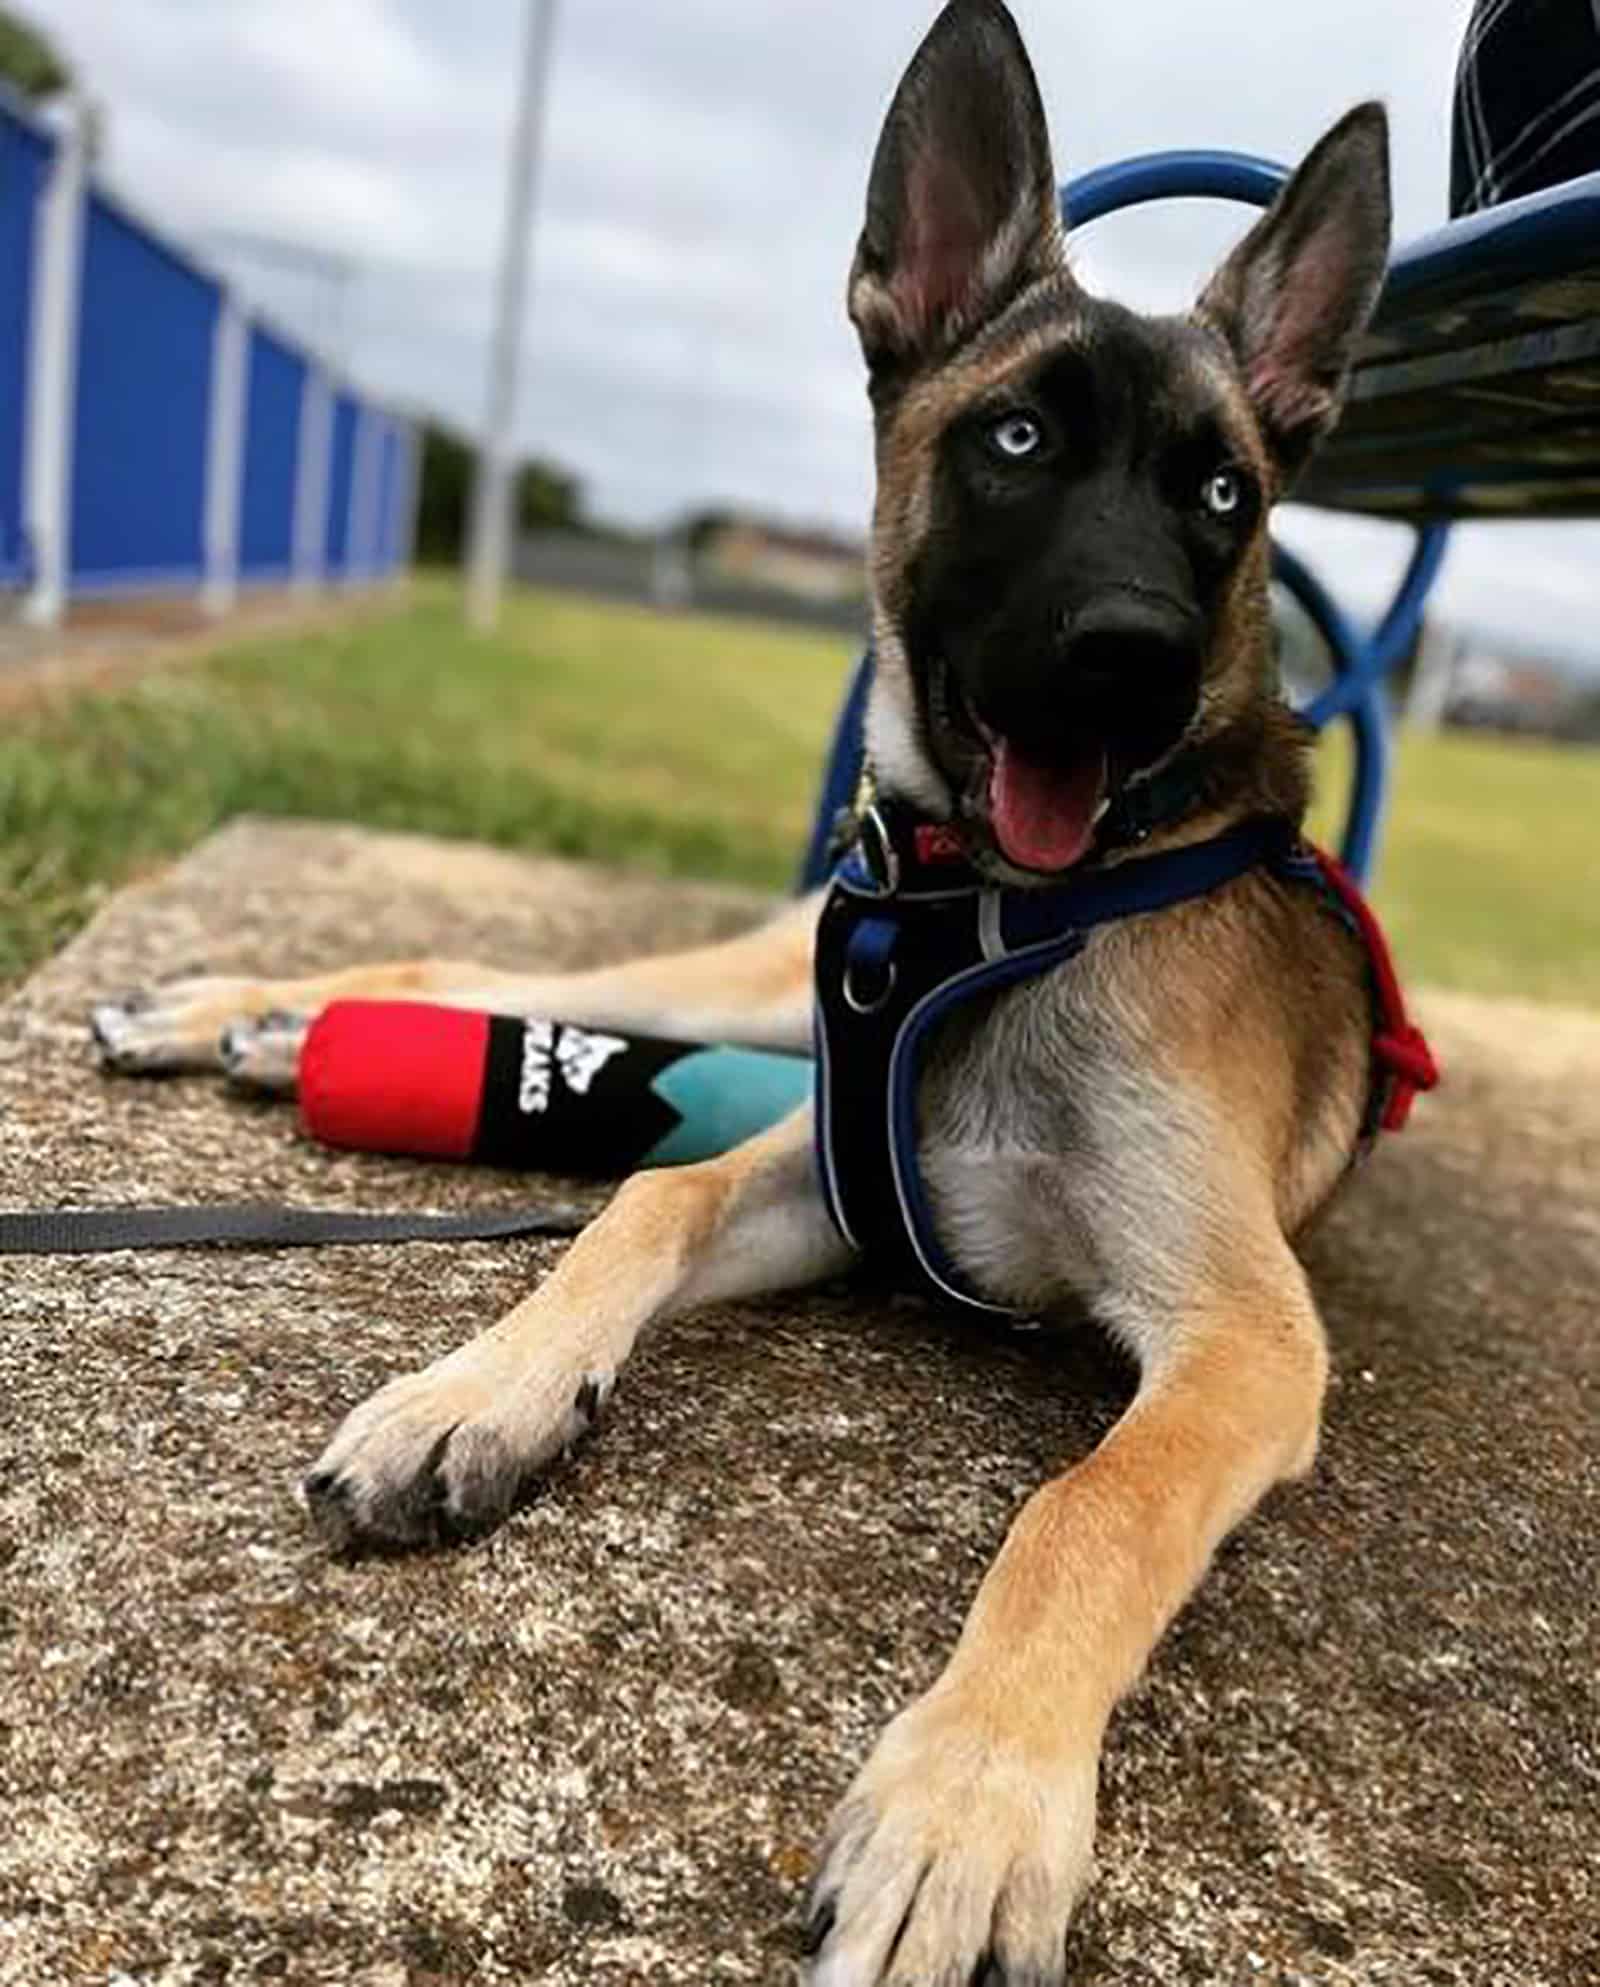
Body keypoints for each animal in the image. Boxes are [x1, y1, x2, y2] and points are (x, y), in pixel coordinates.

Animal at [93, 7, 1407, 1979]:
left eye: (1225, 496)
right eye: (1018, 436)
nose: (1138, 666)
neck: (991, 922)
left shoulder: (1246, 1335)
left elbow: (1086, 1506)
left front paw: (968, 1806)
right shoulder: (849, 1170)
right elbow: (650, 1193)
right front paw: (472, 1391)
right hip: (762, 993)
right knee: (487, 966)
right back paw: (237, 1010)